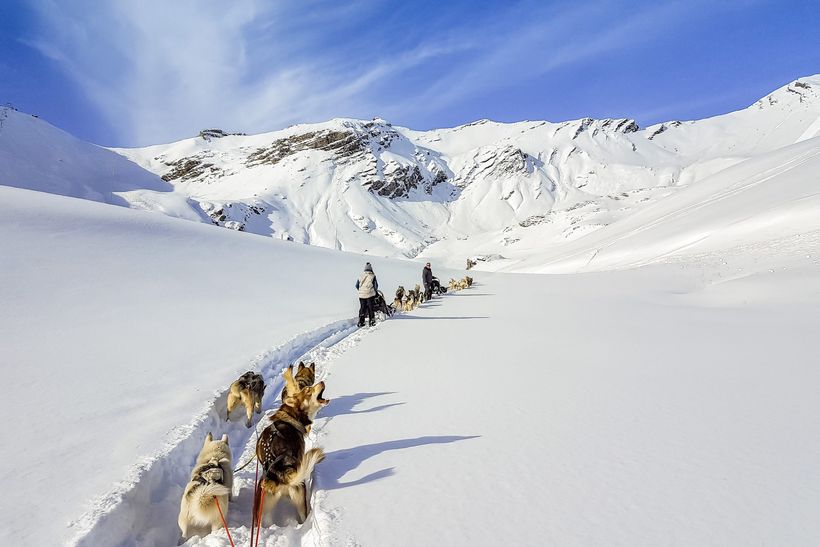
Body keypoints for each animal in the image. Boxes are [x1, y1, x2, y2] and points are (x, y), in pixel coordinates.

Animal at [258, 384, 332, 524]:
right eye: (308, 390)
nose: (322, 382)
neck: (289, 417)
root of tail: (280, 473)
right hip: (300, 494)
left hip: (263, 508)